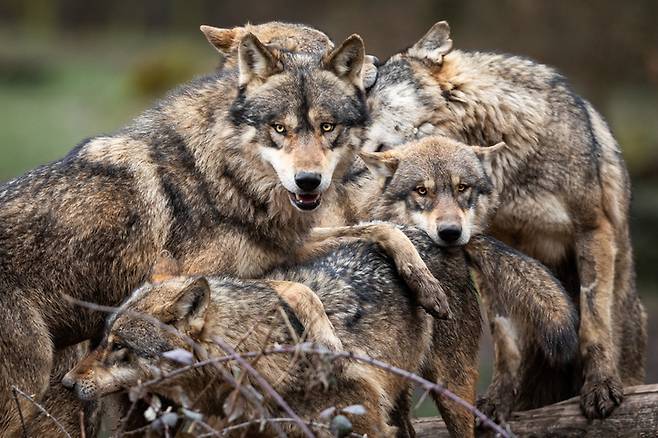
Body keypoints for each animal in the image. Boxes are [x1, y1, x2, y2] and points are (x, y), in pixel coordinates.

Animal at [362, 21, 644, 420]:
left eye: (363, 100)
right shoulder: (486, 242)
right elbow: (503, 337)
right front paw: (495, 401)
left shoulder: (592, 228)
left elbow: (593, 320)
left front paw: (600, 387)